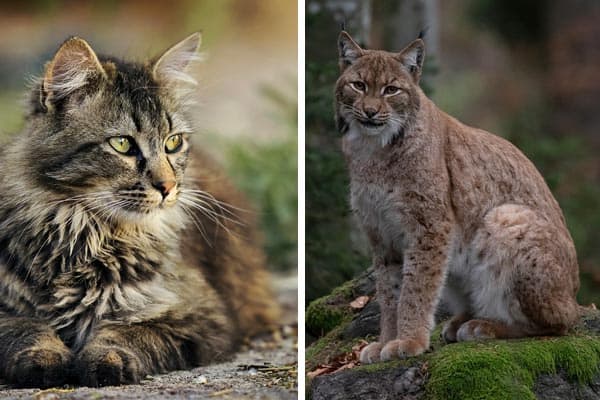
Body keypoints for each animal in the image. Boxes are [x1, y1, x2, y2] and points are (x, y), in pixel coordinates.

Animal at [0, 32, 278, 386]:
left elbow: (129, 332)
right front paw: (44, 358)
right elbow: (26, 327)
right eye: (122, 144)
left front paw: (107, 360)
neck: (85, 235)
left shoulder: (204, 317)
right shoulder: (7, 309)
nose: (168, 187)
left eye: (173, 142)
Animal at [336, 31, 580, 362]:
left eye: (391, 90)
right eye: (358, 85)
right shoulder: (380, 233)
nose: (371, 112)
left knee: (558, 323)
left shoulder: (429, 225)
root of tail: (575, 295)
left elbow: (416, 288)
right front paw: (386, 340)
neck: (373, 149)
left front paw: (408, 341)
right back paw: (461, 320)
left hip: (504, 216)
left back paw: (486, 325)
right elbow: (389, 293)